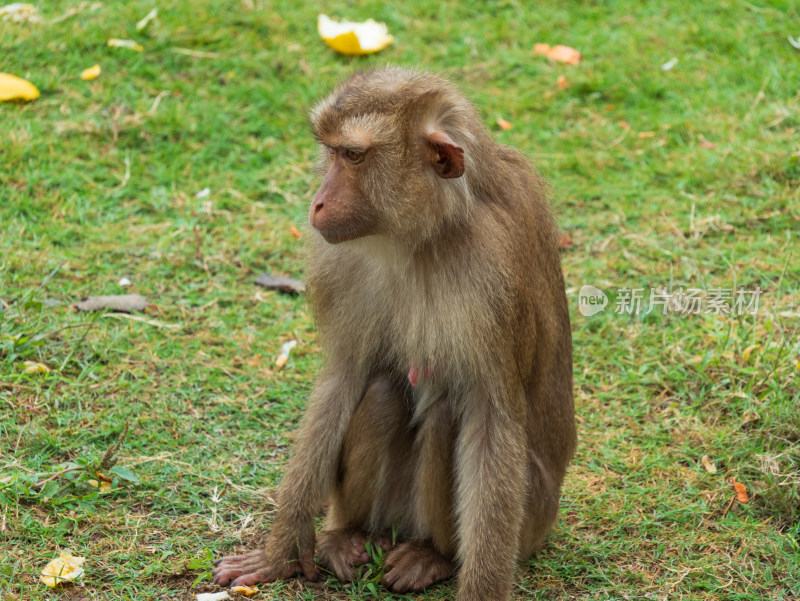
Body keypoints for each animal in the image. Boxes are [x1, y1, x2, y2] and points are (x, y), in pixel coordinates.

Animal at [212, 67, 576, 600]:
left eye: (353, 156)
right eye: (331, 151)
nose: (317, 203)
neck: (424, 235)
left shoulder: (496, 274)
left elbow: (493, 420)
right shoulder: (339, 263)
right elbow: (344, 376)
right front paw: (281, 552)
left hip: (529, 523)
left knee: (449, 411)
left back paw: (433, 556)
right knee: (382, 389)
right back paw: (347, 536)